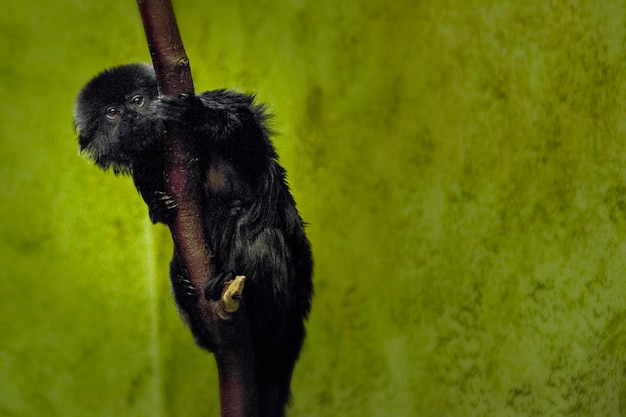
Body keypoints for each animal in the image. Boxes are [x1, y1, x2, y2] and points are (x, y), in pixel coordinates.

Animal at [73, 64, 312, 416]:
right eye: (112, 113)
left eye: (137, 100)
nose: (131, 116)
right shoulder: (141, 169)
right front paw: (159, 206)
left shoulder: (224, 103)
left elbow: (250, 140)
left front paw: (198, 117)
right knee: (176, 266)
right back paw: (190, 291)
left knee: (261, 235)